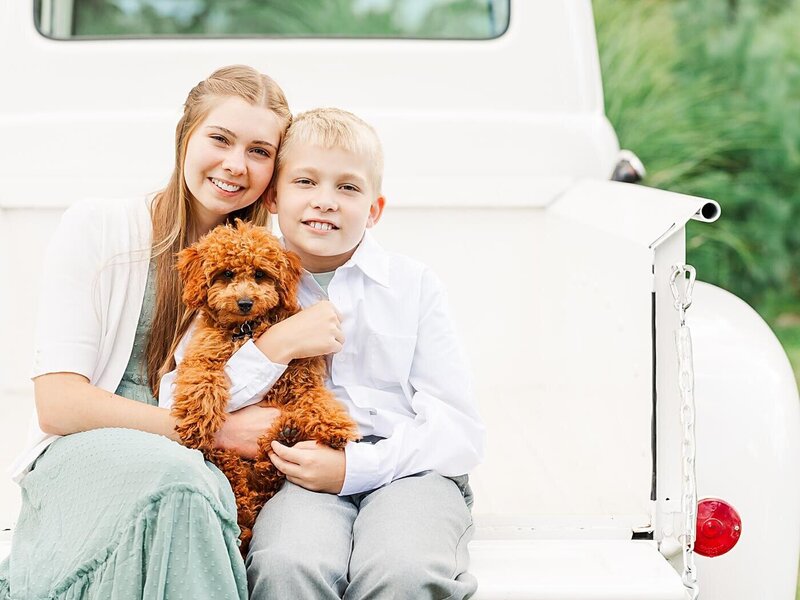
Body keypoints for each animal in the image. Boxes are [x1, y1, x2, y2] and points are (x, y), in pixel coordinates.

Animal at [172, 219, 360, 552]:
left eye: (260, 274)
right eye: (226, 274)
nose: (245, 302)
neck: (246, 330)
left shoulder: (302, 377)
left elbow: (316, 400)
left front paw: (335, 427)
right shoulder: (200, 355)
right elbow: (201, 382)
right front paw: (196, 421)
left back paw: (287, 435)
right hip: (229, 464)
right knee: (242, 492)